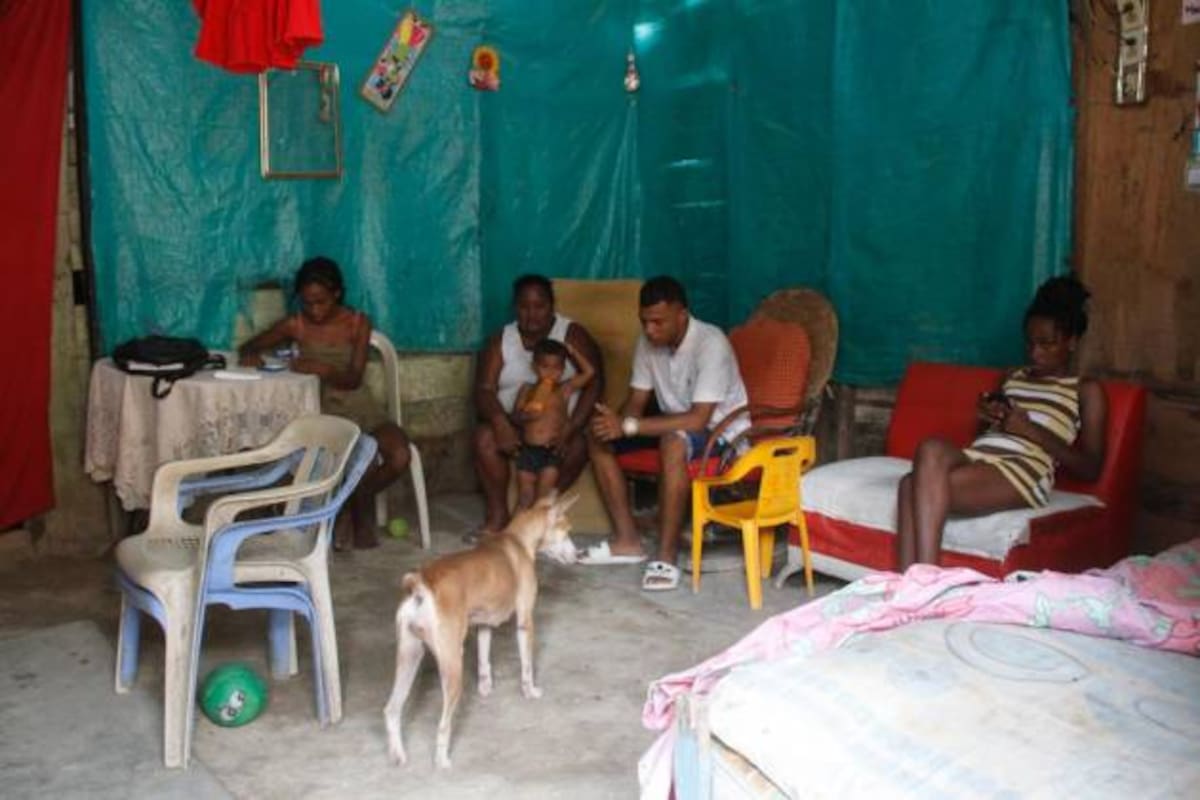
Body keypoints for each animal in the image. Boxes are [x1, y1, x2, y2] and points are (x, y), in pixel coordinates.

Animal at [383, 492, 578, 768]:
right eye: (567, 530)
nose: (579, 554)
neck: (517, 540)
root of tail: (422, 583)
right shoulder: (525, 622)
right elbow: (527, 666)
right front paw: (530, 691)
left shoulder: (484, 625)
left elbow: (484, 661)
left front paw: (485, 689)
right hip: (452, 665)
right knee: (442, 724)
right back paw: (442, 760)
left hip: (409, 657)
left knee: (391, 710)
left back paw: (398, 755)